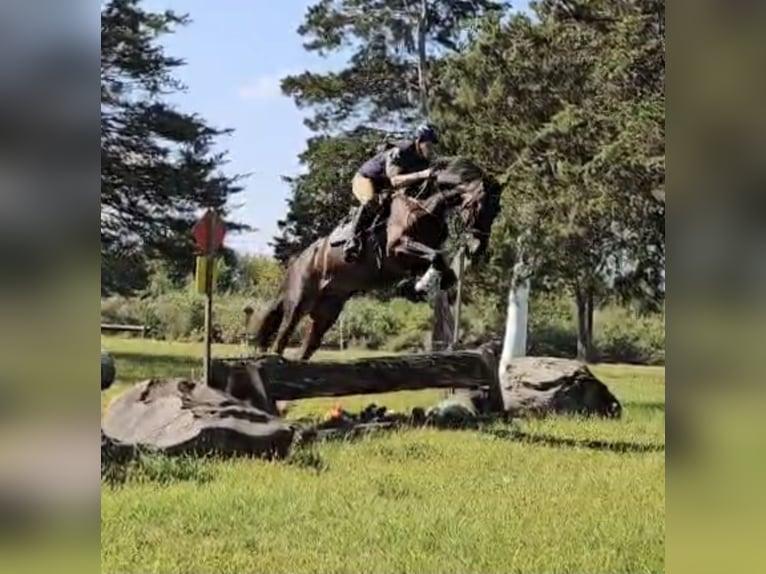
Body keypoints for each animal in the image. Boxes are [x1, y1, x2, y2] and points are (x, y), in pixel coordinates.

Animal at [249, 156, 502, 361]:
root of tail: (296, 261)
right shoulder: (397, 249)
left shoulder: (417, 258)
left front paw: (417, 287)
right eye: (479, 205)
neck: (424, 207)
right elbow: (437, 257)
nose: (479, 247)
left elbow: (442, 266)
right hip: (299, 301)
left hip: (327, 312)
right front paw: (419, 286)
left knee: (307, 346)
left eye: (496, 211)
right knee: (283, 336)